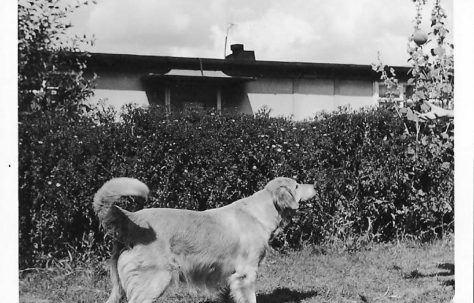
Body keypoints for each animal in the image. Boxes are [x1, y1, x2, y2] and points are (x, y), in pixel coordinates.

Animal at [93, 178, 314, 303]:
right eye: (297, 185)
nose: (316, 185)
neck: (259, 213)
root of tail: (132, 218)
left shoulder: (230, 277)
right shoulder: (245, 273)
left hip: (119, 287)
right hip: (155, 280)